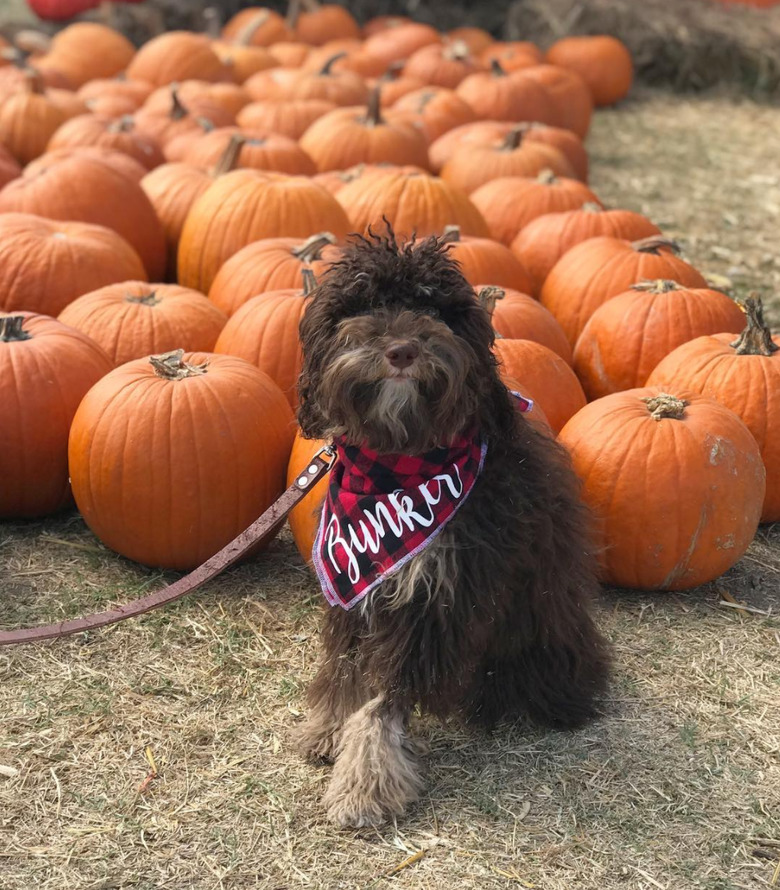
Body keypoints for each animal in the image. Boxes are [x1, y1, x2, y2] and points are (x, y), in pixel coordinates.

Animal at [292, 229, 608, 824]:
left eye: (435, 309)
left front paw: (364, 783)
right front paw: (329, 730)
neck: (398, 465)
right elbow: (347, 668)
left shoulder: (439, 599)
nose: (401, 351)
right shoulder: (353, 582)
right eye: (365, 304)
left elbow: (385, 698)